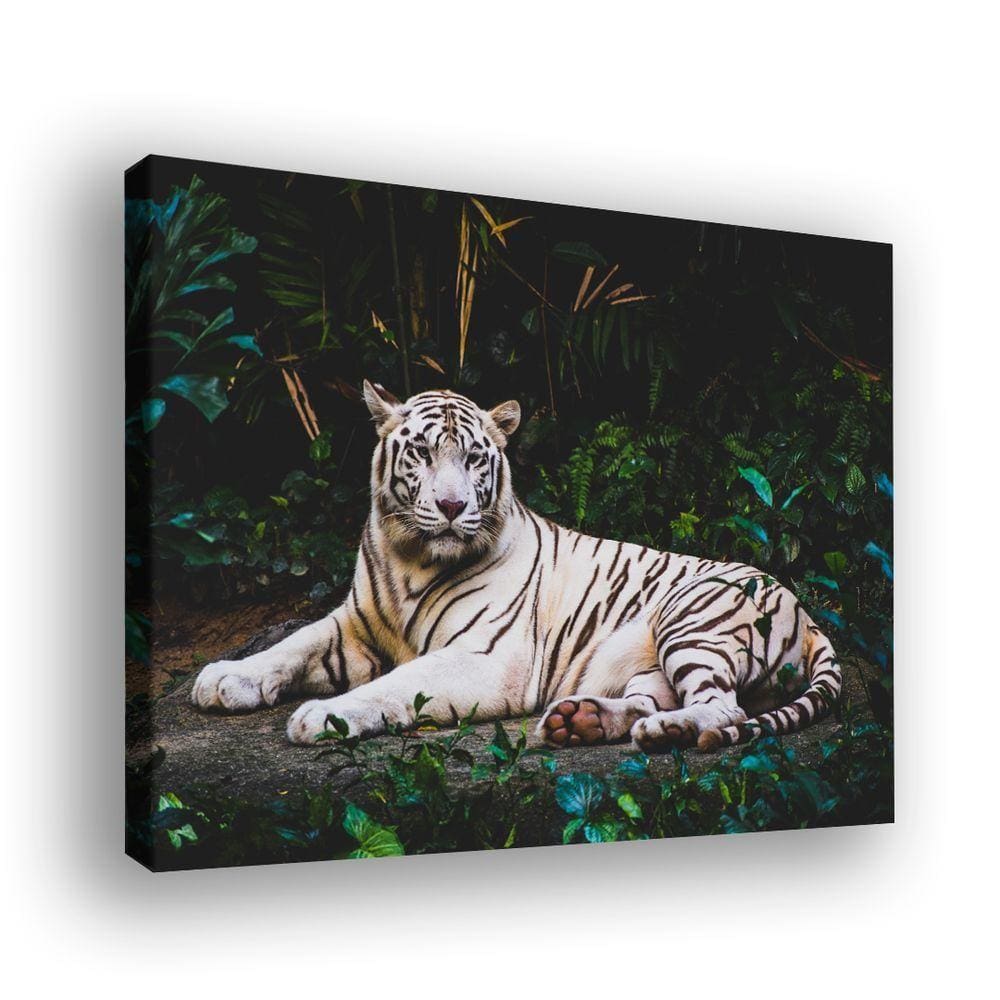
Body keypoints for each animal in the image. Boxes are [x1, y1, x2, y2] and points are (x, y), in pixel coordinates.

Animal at [191, 381, 842, 753]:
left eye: (474, 459)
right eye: (421, 452)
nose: (452, 507)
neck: (408, 559)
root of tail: (810, 616)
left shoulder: (487, 658)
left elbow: (394, 685)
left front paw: (323, 717)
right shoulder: (354, 625)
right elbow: (291, 644)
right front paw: (224, 678)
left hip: (692, 620)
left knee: (724, 707)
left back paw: (667, 733)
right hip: (650, 662)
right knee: (656, 699)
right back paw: (581, 722)